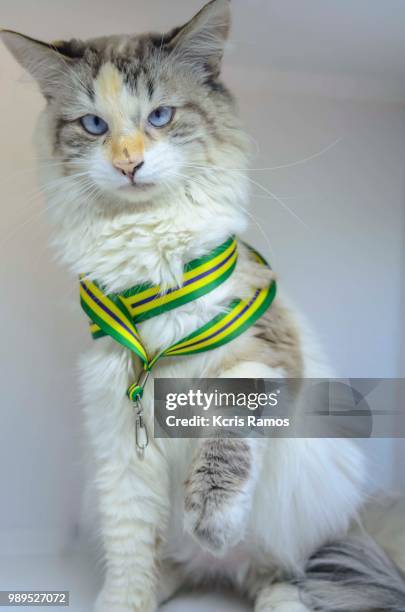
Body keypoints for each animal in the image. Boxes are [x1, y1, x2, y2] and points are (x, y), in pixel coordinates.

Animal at [3, 2, 404, 608]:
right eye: (94, 125)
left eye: (160, 116)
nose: (129, 164)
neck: (152, 263)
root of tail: (216, 575)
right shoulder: (119, 424)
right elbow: (130, 547)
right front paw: (124, 601)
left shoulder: (256, 357)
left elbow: (223, 448)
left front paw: (211, 520)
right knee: (172, 561)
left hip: (317, 501)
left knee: (280, 569)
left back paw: (263, 584)